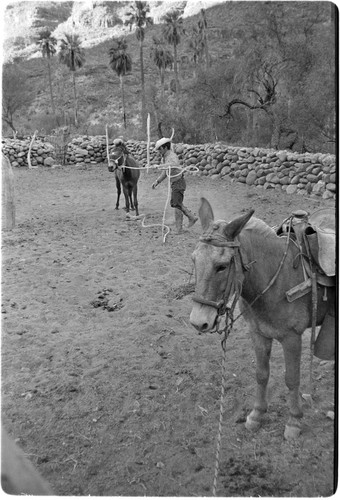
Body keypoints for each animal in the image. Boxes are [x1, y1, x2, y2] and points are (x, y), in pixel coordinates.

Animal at [190, 197, 336, 440]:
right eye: (194, 260)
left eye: (222, 266)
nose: (198, 322)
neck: (275, 279)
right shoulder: (258, 333)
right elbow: (261, 374)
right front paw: (257, 415)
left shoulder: (292, 338)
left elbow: (292, 379)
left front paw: (294, 421)